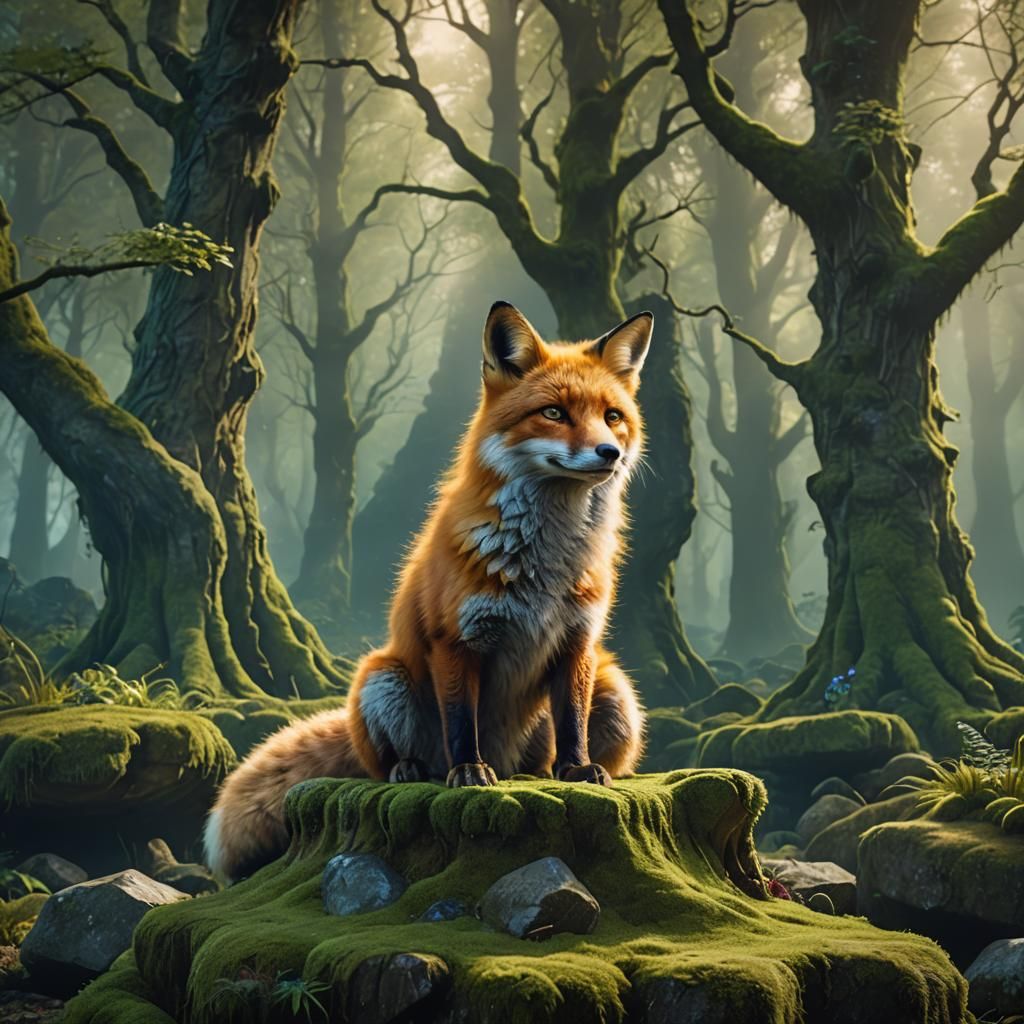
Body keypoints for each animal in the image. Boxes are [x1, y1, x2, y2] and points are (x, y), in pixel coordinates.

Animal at [205, 301, 651, 881]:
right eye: (553, 413)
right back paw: (413, 769)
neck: (547, 565)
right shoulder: (455, 639)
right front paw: (468, 772)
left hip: (616, 694)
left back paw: (545, 771)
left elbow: (572, 721)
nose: (609, 452)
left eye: (612, 416)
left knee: (549, 757)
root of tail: (512, 760)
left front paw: (576, 769)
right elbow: (461, 721)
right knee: (385, 763)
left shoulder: (579, 642)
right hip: (383, 677)